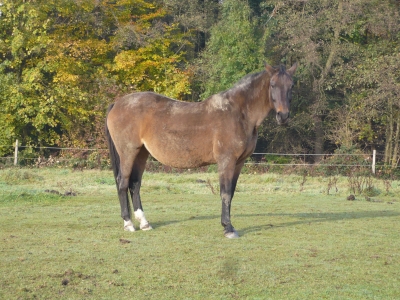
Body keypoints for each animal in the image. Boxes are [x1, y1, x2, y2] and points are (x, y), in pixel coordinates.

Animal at [106, 62, 296, 238]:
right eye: (273, 84)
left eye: (291, 86)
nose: (283, 116)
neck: (238, 113)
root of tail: (117, 103)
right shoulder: (226, 161)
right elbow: (225, 193)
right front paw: (228, 228)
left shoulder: (239, 163)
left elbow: (232, 193)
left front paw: (229, 226)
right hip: (128, 152)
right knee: (123, 183)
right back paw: (129, 223)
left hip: (141, 153)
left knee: (135, 185)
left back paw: (144, 223)